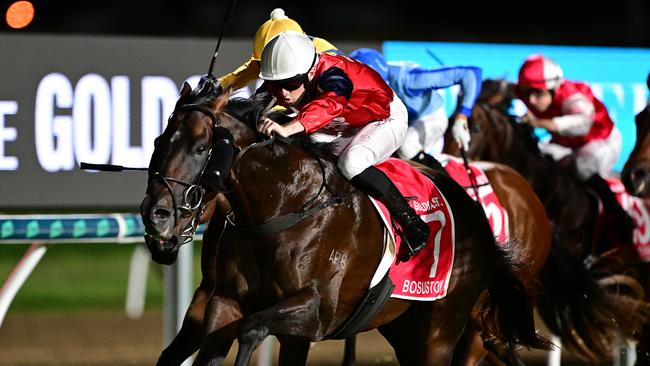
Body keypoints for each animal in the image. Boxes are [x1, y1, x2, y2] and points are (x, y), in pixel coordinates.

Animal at [139, 81, 544, 366]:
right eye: (158, 141)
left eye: (200, 148)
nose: (156, 214)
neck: (281, 209)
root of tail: (477, 215)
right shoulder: (225, 302)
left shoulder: (315, 313)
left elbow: (253, 330)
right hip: (404, 327)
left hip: (442, 328)